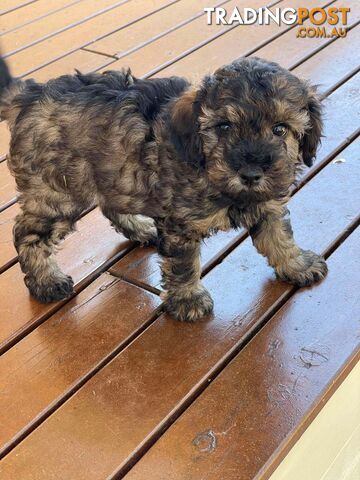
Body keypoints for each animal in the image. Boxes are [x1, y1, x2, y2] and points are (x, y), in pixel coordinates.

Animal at [0, 56, 326, 320]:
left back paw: (140, 228)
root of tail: (30, 96)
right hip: (59, 192)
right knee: (27, 234)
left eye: (280, 129)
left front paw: (297, 265)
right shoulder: (180, 224)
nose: (250, 173)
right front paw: (188, 299)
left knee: (110, 203)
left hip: (113, 170)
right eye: (224, 127)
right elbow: (183, 264)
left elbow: (280, 237)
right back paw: (46, 281)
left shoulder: (267, 205)